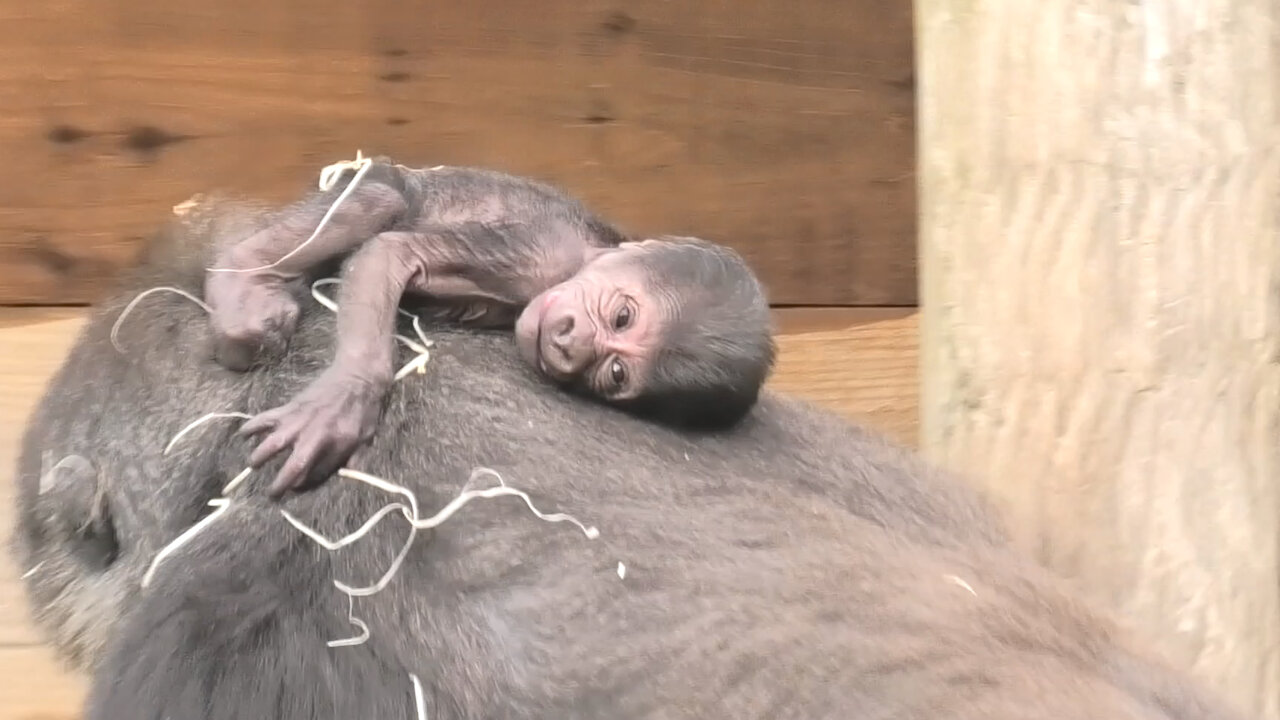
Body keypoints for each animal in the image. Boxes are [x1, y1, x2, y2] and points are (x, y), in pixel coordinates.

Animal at [204, 155, 773, 497]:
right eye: (622, 316)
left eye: (614, 374)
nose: (573, 344)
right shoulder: (539, 251)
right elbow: (393, 250)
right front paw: (345, 398)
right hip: (365, 177)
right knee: (383, 197)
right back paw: (242, 274)